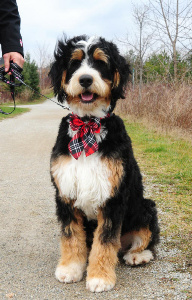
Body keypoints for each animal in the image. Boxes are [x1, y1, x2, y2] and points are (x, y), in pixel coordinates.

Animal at [48, 34, 160, 292]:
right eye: (75, 62)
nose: (86, 79)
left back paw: (138, 255)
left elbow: (106, 241)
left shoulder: (113, 196)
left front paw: (99, 278)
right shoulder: (66, 193)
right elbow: (71, 236)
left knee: (145, 242)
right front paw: (70, 269)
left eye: (100, 63)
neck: (88, 125)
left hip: (146, 207)